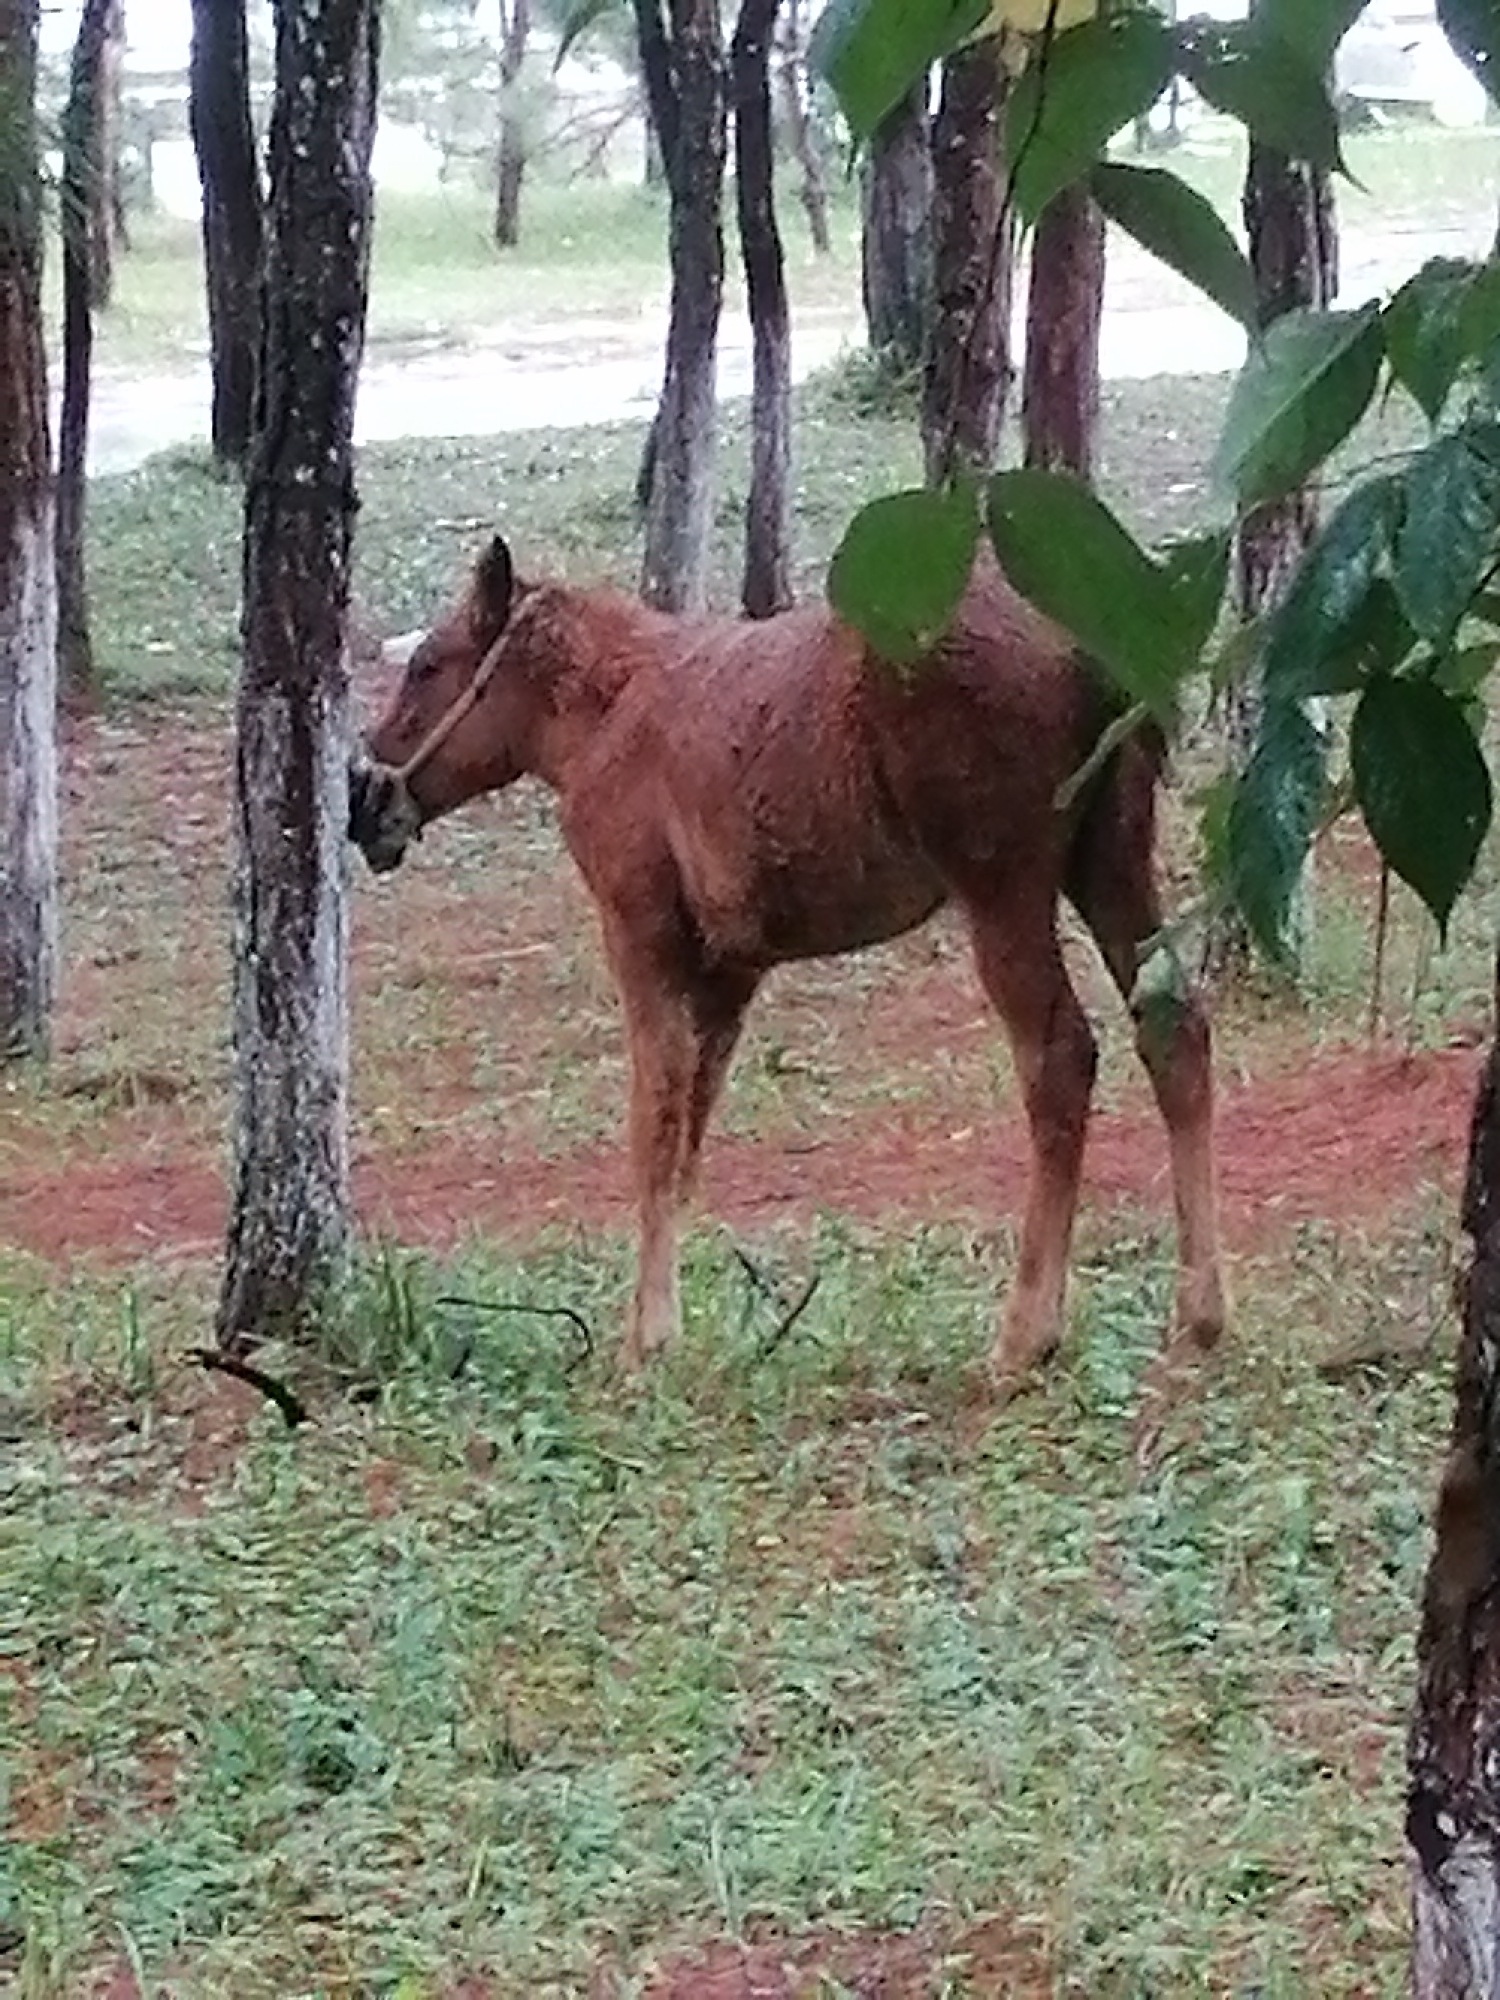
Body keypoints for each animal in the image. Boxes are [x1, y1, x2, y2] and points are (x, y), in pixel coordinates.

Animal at [348, 532, 1225, 1392]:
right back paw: (1198, 1320)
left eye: (428, 667)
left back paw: (1026, 1335)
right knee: (1174, 1030)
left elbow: (652, 1125)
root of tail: (1096, 645)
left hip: (1002, 885)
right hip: (1110, 860)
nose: (363, 804)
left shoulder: (641, 933)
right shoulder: (731, 968)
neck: (600, 712)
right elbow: (689, 1135)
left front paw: (644, 1342)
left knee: (1060, 1057)